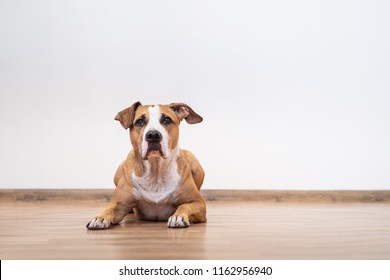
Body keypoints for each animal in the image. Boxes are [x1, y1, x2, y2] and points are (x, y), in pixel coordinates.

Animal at [86, 101, 206, 229]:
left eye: (167, 120)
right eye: (140, 121)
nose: (153, 135)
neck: (155, 170)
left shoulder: (198, 203)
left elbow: (184, 205)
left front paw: (178, 217)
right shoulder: (119, 204)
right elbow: (110, 209)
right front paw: (100, 218)